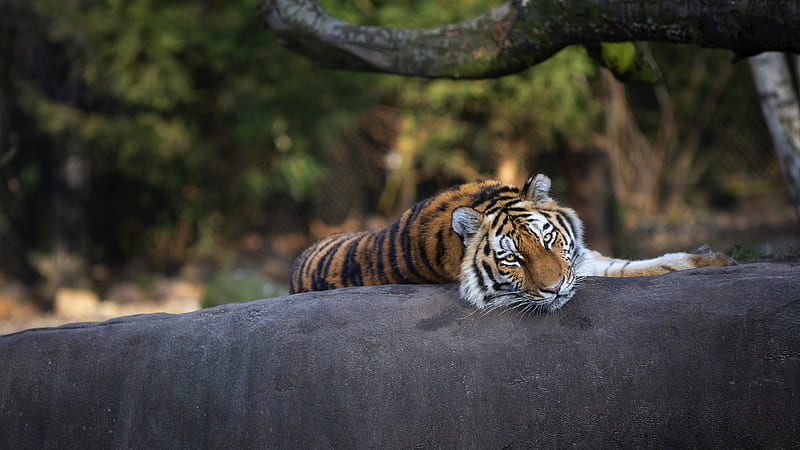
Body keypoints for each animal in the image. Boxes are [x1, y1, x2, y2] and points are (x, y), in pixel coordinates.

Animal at [290, 173, 736, 312]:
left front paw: (712, 260)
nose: (555, 289)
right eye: (513, 260)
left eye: (548, 238)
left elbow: (633, 265)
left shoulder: (581, 260)